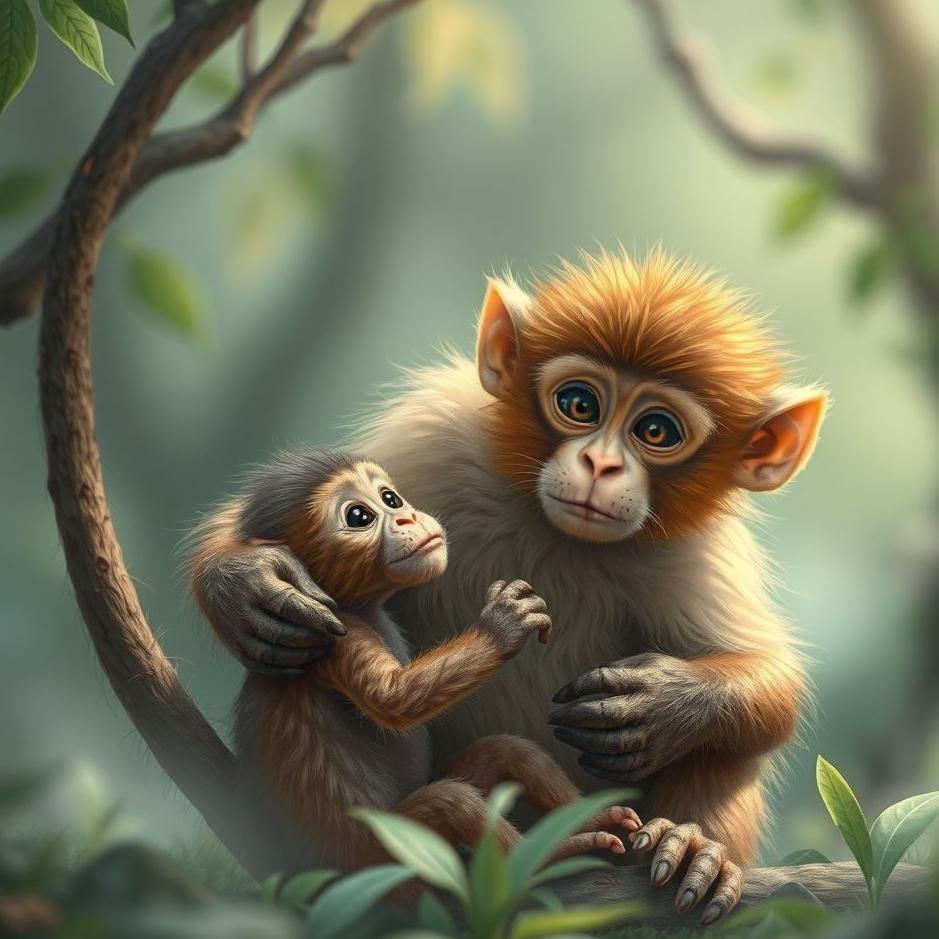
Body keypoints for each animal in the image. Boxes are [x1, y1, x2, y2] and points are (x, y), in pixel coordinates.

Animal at [226, 449, 642, 875]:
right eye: (359, 516)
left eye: (390, 499)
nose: (407, 517)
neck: (360, 606)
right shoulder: (329, 629)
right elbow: (393, 699)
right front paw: (503, 625)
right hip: (380, 851)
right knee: (450, 803)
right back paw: (550, 856)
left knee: (506, 751)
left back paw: (593, 819)